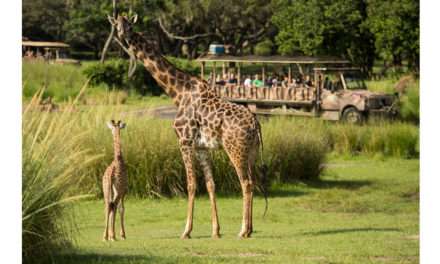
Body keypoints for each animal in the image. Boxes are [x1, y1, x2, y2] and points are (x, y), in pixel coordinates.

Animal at [109, 13, 264, 239]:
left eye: (129, 25)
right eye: (117, 25)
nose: (123, 36)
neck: (178, 92)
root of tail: (256, 124)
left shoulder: (184, 141)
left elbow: (191, 185)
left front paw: (186, 231)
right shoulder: (201, 148)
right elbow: (210, 185)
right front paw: (215, 231)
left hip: (235, 149)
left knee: (246, 183)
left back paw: (243, 230)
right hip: (250, 152)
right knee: (253, 181)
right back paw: (250, 229)